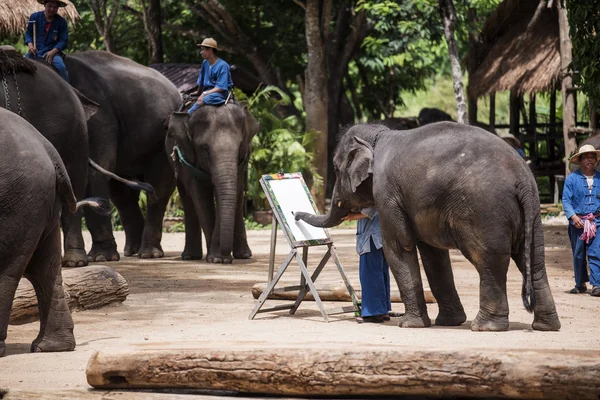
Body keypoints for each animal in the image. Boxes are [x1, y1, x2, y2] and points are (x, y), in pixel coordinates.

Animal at [0, 108, 106, 358]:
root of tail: (48, 148)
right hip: (35, 199)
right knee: (44, 269)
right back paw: (50, 348)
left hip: (18, 201)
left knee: (6, 270)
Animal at [65, 50, 182, 260]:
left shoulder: (100, 118)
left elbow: (93, 173)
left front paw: (100, 258)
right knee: (122, 194)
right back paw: (132, 251)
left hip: (165, 135)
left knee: (158, 187)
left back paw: (148, 254)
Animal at [165, 102, 258, 262]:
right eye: (205, 149)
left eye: (240, 146)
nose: (226, 254)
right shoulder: (189, 159)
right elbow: (201, 196)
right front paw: (217, 259)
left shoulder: (242, 162)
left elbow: (231, 192)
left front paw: (220, 258)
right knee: (187, 198)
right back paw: (190, 256)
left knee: (238, 199)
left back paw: (244, 255)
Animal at [296, 121, 564, 332]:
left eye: (335, 168)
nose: (295, 214)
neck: (379, 136)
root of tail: (522, 179)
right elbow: (433, 254)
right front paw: (449, 322)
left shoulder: (387, 192)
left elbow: (399, 247)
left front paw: (408, 325)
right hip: (532, 214)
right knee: (534, 260)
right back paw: (546, 326)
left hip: (485, 212)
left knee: (489, 261)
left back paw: (486, 327)